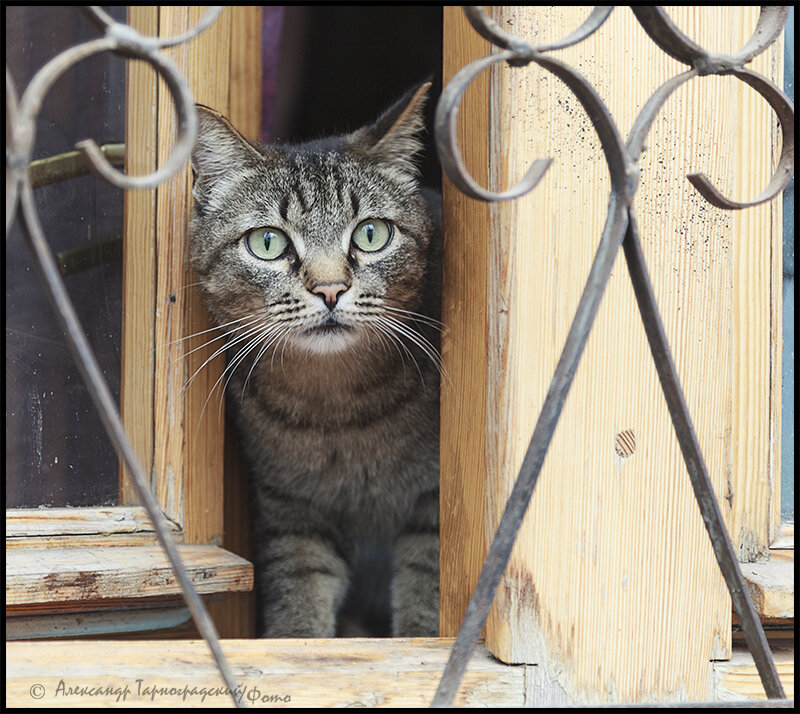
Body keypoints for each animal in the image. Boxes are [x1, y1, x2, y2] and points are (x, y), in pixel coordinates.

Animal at [191, 82, 444, 636]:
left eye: (371, 233)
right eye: (268, 242)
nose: (330, 289)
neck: (340, 412)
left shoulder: (434, 506)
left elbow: (427, 595)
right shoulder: (293, 512)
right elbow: (299, 593)